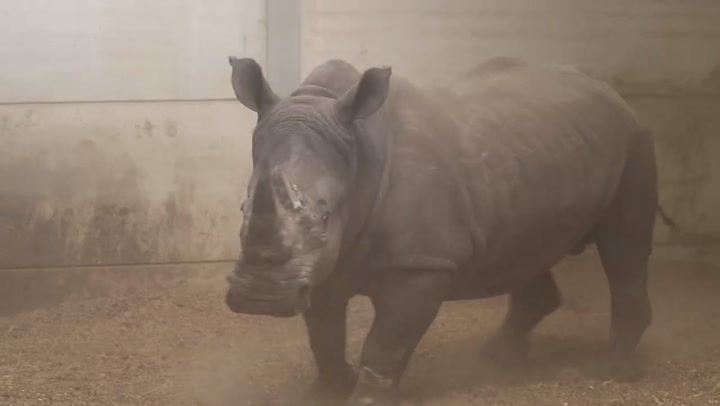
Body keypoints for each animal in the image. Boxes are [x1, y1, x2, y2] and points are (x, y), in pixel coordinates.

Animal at [225, 54, 664, 406]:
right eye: (243, 209)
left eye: (324, 217)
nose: (259, 298)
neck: (357, 154)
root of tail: (611, 91)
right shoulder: (321, 263)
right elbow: (324, 333)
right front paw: (329, 389)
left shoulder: (421, 266)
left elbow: (386, 342)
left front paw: (367, 397)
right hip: (531, 154)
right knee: (526, 247)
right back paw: (497, 359)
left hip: (634, 141)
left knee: (623, 246)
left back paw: (610, 370)